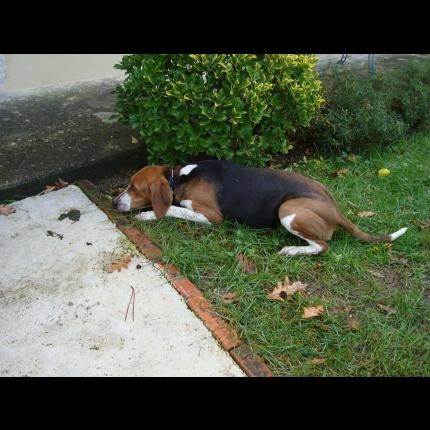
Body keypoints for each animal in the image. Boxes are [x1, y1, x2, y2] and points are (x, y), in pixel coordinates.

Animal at [111, 160, 406, 255]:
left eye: (134, 188)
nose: (114, 202)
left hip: (288, 211)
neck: (179, 177)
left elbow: (173, 210)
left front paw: (149, 214)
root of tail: (336, 210)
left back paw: (292, 250)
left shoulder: (211, 216)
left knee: (323, 246)